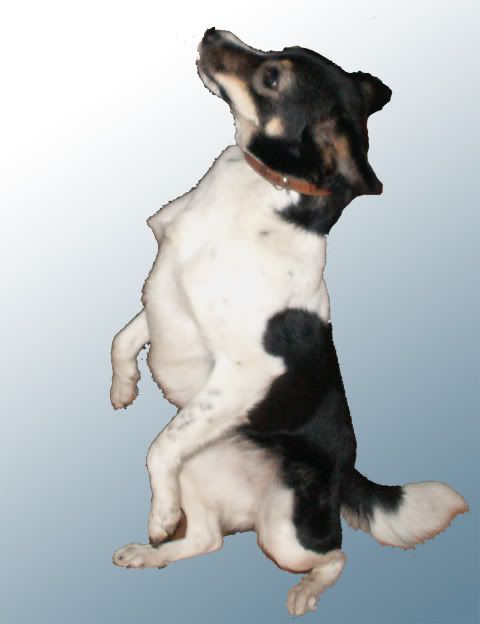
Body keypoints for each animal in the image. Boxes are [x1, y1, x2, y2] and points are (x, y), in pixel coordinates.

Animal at [110, 28, 468, 615]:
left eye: (271, 77)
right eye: (276, 52)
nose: (212, 31)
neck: (264, 187)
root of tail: (345, 476)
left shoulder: (246, 371)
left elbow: (157, 446)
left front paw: (159, 513)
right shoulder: (165, 305)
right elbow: (122, 339)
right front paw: (123, 388)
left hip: (284, 533)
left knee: (336, 556)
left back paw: (302, 590)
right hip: (203, 465)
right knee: (205, 539)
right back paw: (151, 554)